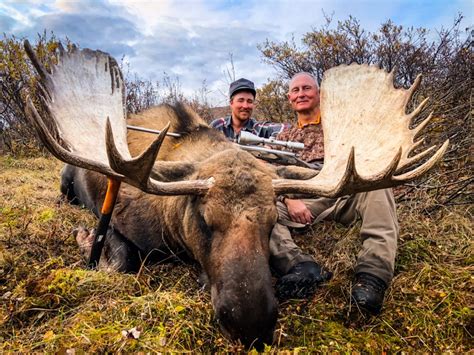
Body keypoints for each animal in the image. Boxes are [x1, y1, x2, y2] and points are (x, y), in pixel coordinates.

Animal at [23, 40, 448, 350]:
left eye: (273, 220)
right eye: (203, 219)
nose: (251, 324)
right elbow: (122, 256)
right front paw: (85, 238)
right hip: (65, 181)